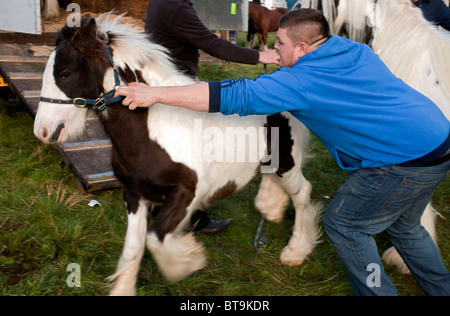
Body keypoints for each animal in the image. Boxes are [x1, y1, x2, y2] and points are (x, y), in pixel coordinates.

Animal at [32, 14, 320, 296]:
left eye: (65, 73)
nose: (43, 131)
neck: (156, 129)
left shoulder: (185, 193)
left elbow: (155, 239)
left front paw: (188, 260)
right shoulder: (134, 194)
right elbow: (134, 247)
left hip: (287, 163)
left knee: (302, 194)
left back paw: (295, 251)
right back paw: (272, 209)